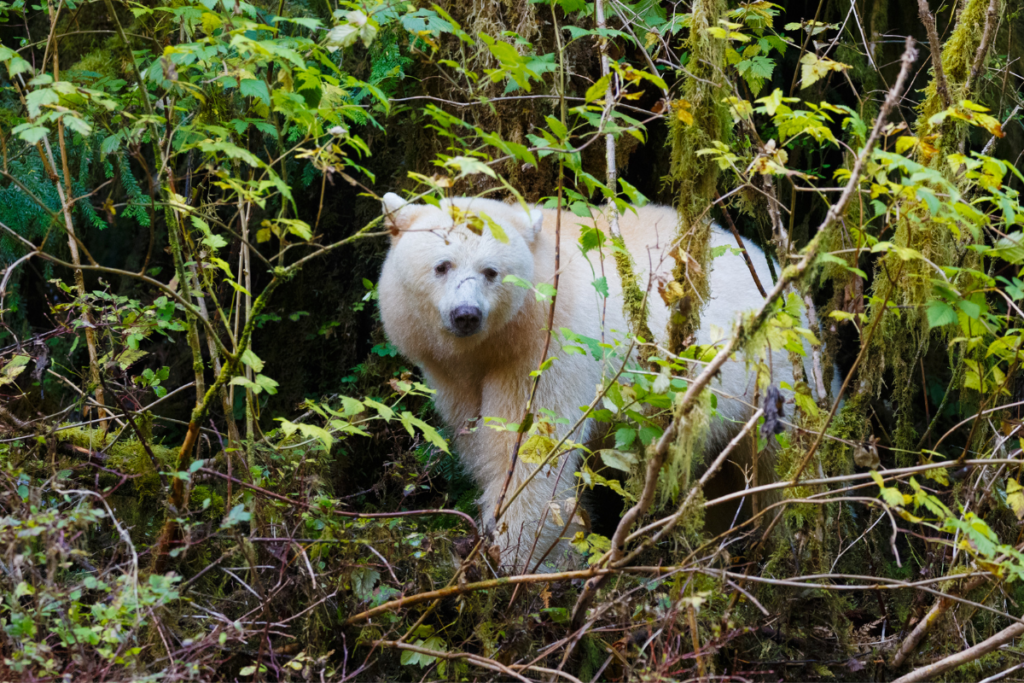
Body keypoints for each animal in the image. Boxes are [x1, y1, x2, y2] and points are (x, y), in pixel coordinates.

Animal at [376, 192, 798, 573]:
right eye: (442, 266)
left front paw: (519, 561)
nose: (466, 314)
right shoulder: (455, 378)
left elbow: (530, 449)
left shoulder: (549, 349)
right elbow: (481, 438)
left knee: (775, 462)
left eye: (491, 271)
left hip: (769, 374)